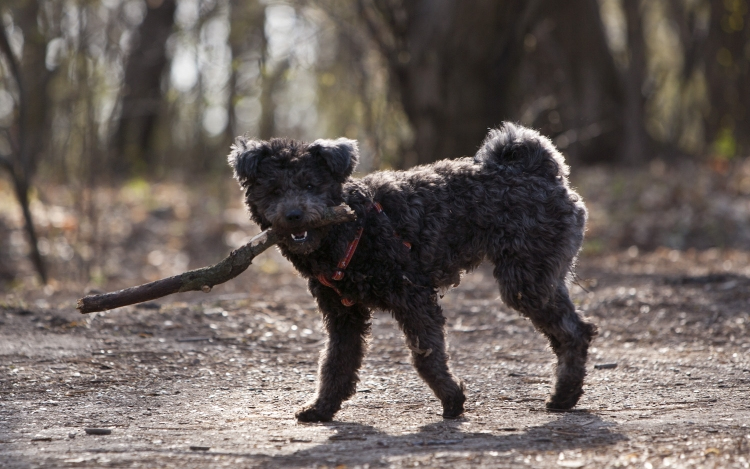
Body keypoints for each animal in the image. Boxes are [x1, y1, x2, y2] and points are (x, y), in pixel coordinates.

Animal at [229, 120, 600, 420]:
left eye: (310, 185)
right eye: (274, 189)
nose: (293, 215)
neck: (352, 226)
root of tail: (541, 171)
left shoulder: (414, 298)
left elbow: (426, 355)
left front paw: (452, 400)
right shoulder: (343, 314)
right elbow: (336, 363)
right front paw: (322, 408)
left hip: (526, 280)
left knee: (572, 333)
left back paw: (563, 396)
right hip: (541, 276)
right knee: (575, 330)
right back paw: (565, 396)